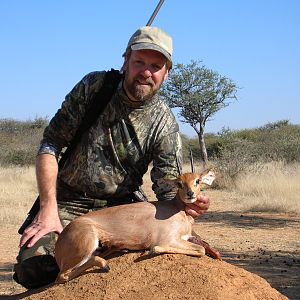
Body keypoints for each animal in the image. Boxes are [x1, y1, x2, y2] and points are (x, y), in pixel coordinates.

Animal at [54, 170, 218, 282]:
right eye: (179, 183)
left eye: (198, 180)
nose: (190, 194)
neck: (177, 210)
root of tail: (59, 242)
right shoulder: (169, 239)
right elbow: (201, 250)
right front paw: (154, 250)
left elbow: (201, 249)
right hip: (85, 247)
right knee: (61, 276)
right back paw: (105, 265)